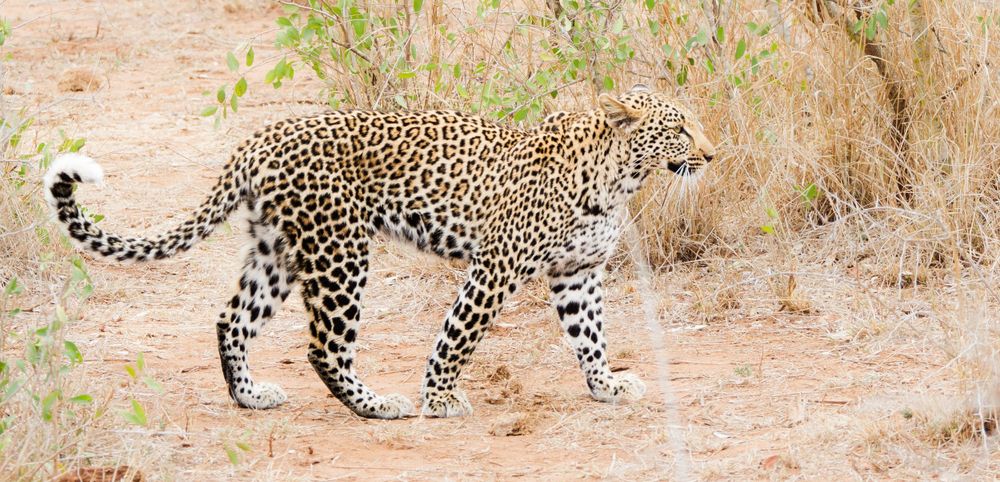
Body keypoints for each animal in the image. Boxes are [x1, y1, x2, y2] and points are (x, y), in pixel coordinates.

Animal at [44, 84, 716, 419]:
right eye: (679, 127)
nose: (711, 154)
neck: (622, 177)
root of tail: (260, 137)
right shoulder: (495, 267)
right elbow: (458, 335)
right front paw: (438, 399)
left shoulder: (578, 272)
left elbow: (590, 336)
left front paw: (606, 387)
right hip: (341, 251)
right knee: (324, 347)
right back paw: (376, 406)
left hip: (278, 251)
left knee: (232, 319)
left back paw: (251, 396)